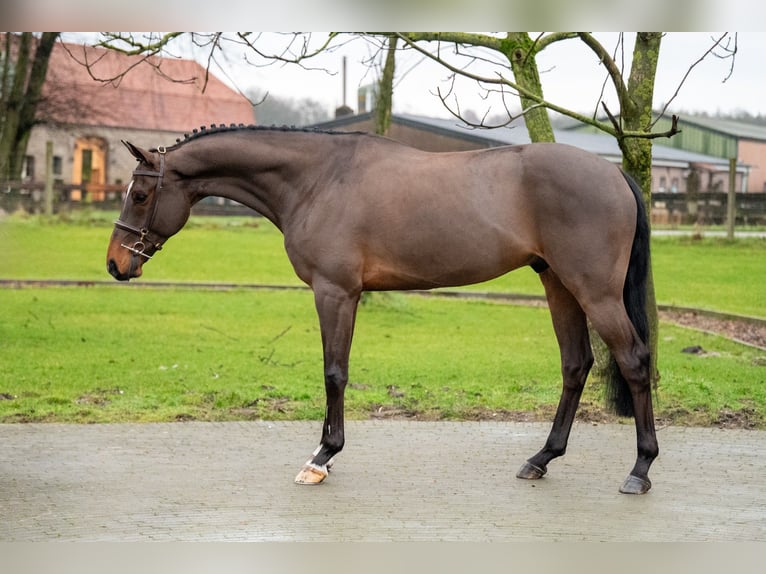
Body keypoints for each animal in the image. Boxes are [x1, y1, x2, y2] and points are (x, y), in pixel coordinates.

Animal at [106, 125, 660, 496]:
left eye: (140, 193)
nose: (115, 264)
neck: (318, 179)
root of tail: (613, 173)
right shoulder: (343, 294)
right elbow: (338, 371)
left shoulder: (335, 292)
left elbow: (334, 372)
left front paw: (322, 458)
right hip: (558, 283)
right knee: (576, 364)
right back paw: (541, 459)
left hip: (593, 290)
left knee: (634, 361)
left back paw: (639, 470)